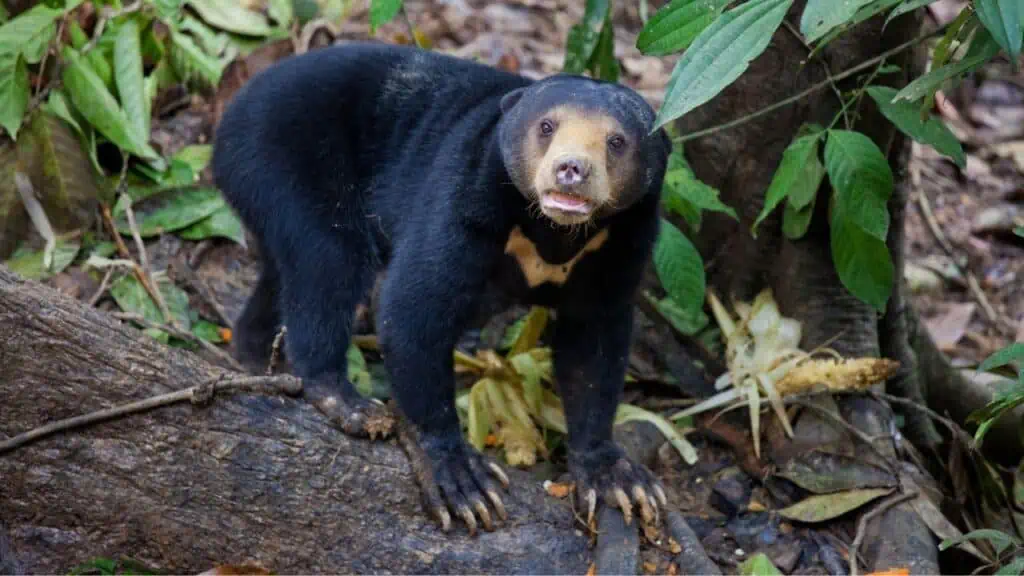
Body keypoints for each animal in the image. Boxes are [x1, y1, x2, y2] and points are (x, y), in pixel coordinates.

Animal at [212, 41, 673, 535]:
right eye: (547, 127)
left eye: (616, 142)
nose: (571, 169)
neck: (555, 231)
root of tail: (235, 105)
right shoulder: (469, 192)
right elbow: (413, 308)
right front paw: (463, 479)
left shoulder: (624, 238)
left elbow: (594, 344)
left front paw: (617, 478)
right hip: (282, 156)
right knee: (329, 257)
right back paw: (346, 400)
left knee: (284, 271)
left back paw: (254, 352)